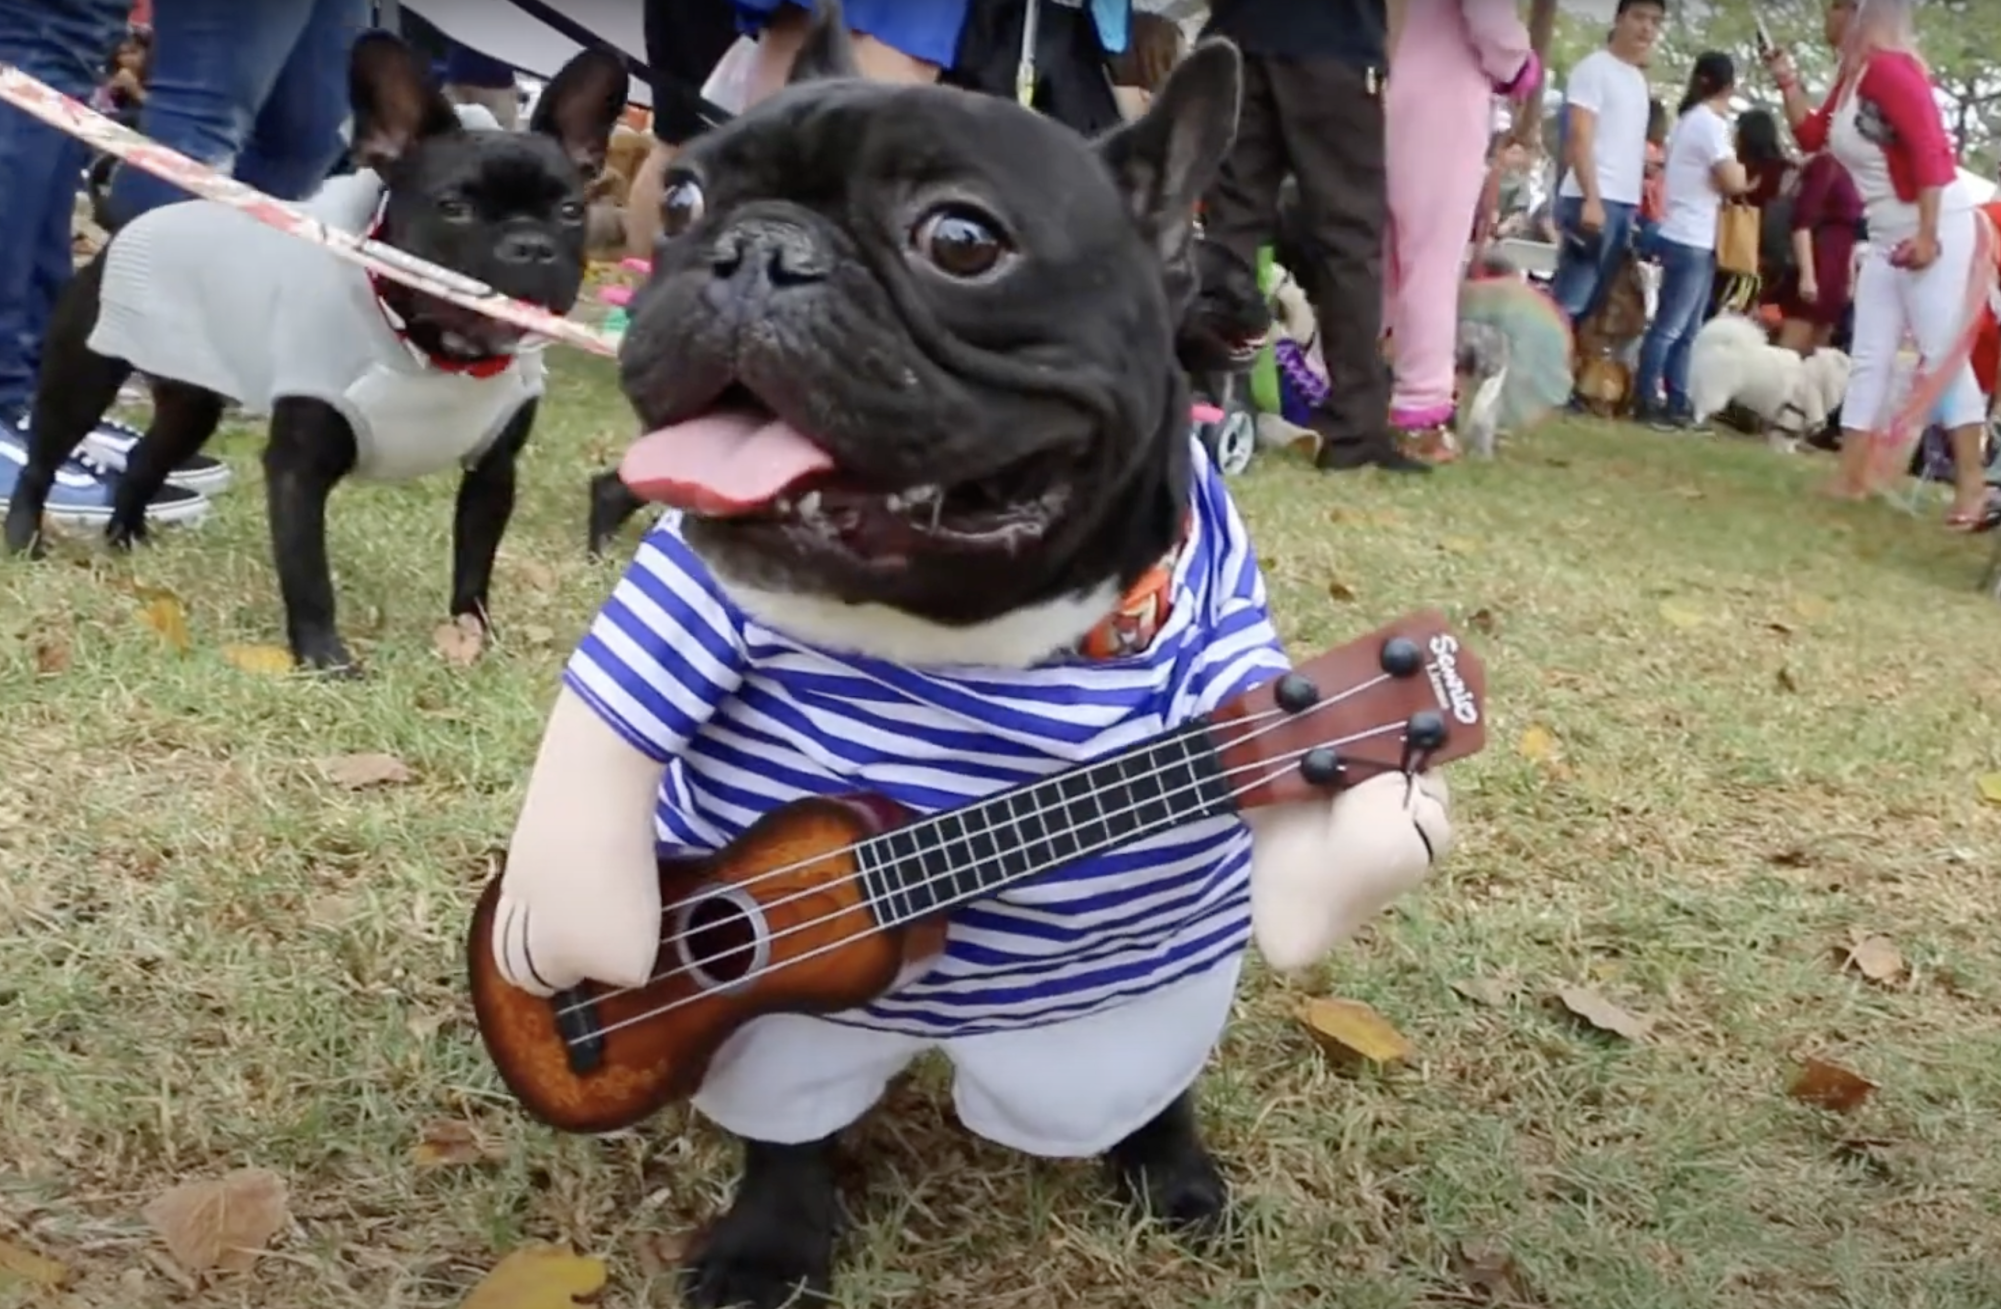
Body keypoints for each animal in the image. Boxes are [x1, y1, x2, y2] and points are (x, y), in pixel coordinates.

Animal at [1688, 316, 1840, 454]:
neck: (1812, 377)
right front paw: (1783, 452)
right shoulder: (1791, 415)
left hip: (1701, 381)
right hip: (1716, 388)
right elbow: (1786, 436)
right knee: (1703, 407)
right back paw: (1699, 426)